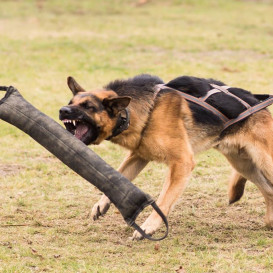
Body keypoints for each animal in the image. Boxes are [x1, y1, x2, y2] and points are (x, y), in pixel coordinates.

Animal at [59, 74, 272, 238]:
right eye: (71, 103)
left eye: (88, 106)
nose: (62, 110)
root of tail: (257, 101)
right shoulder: (139, 155)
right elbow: (117, 175)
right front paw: (101, 204)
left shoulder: (181, 162)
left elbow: (163, 200)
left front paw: (148, 226)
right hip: (243, 164)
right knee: (269, 190)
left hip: (264, 162)